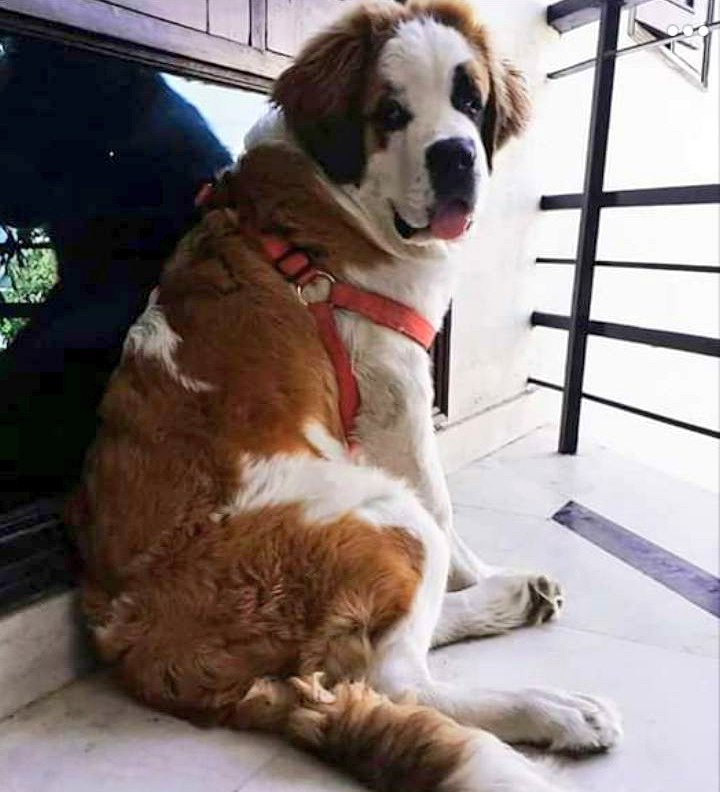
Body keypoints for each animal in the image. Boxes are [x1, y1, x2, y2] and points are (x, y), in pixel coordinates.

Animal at [67, 3, 620, 788]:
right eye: (390, 113)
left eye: (470, 101)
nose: (456, 155)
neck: (337, 198)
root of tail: (137, 637)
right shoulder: (397, 386)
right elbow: (447, 509)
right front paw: (476, 574)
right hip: (383, 512)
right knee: (395, 678)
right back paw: (549, 705)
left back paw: (510, 602)